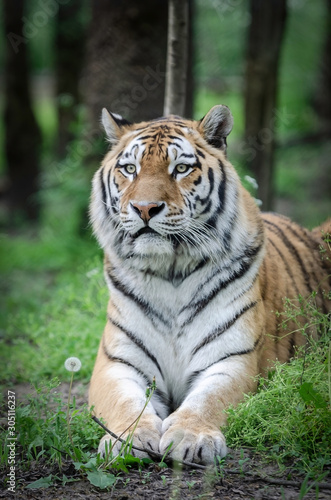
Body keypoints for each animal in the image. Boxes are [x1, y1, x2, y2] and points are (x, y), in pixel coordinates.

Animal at [89, 104, 331, 464]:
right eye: (130, 169)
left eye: (181, 168)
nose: (145, 208)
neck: (169, 272)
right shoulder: (117, 363)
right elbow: (126, 402)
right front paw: (127, 439)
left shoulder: (233, 359)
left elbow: (209, 400)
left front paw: (191, 437)